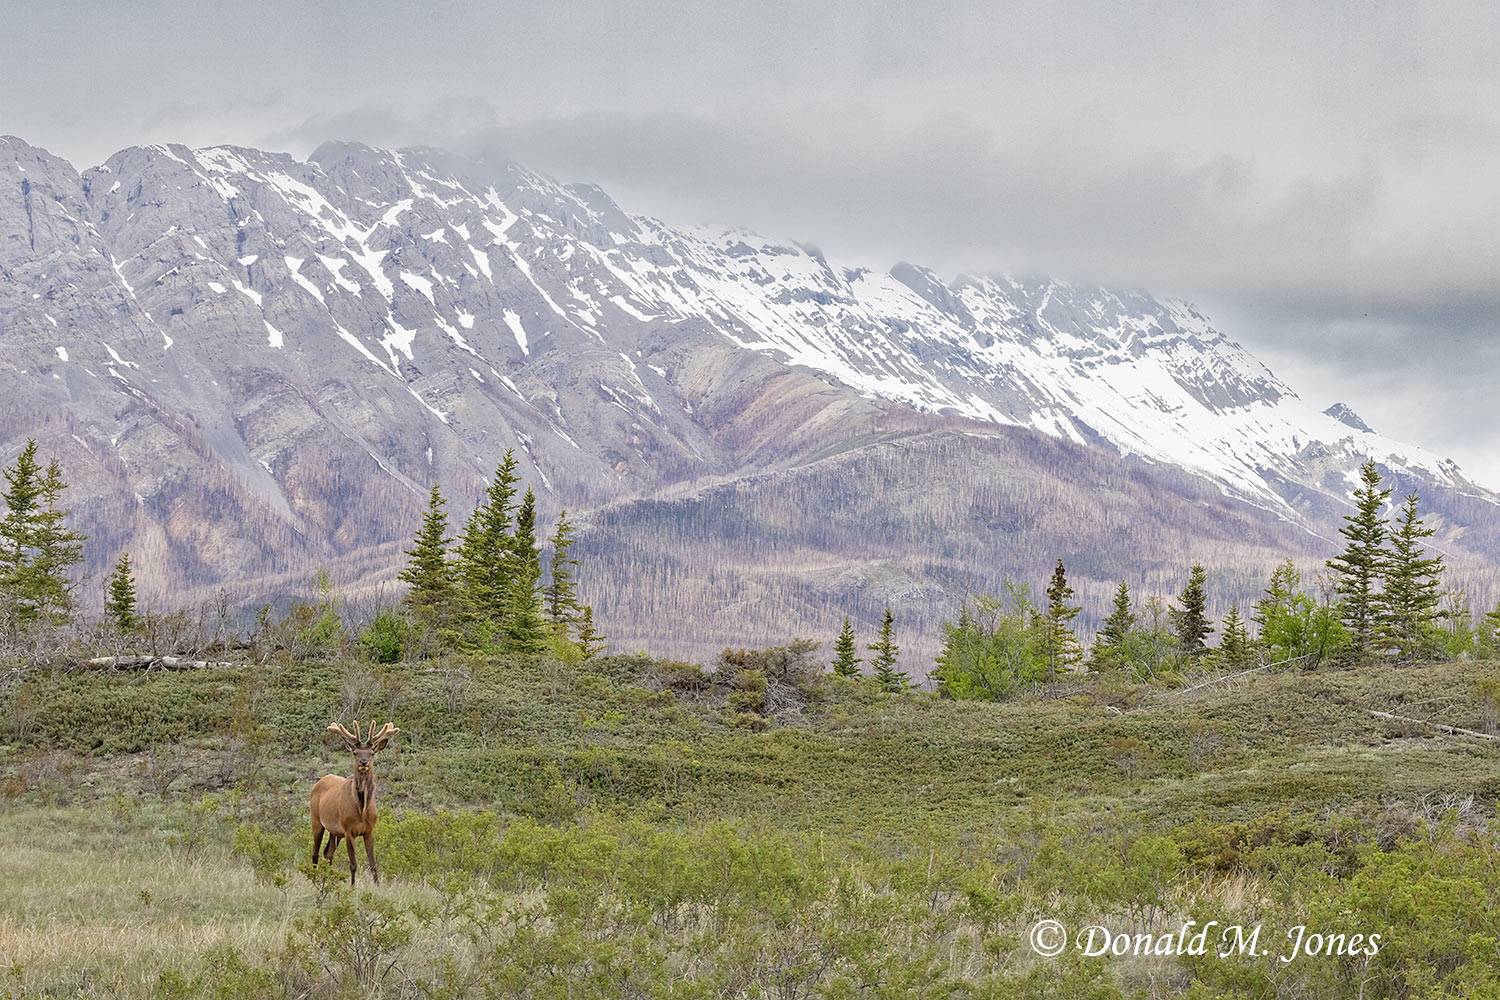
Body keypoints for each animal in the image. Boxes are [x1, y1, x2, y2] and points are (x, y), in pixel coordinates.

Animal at [311, 720, 399, 885]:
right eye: (355, 752)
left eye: (372, 753)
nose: (363, 762)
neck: (362, 810)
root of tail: (320, 781)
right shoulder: (348, 830)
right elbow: (353, 864)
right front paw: (352, 887)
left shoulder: (369, 830)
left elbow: (373, 864)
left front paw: (377, 886)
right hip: (316, 820)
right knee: (315, 853)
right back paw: (313, 881)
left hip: (335, 831)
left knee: (328, 852)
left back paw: (327, 880)